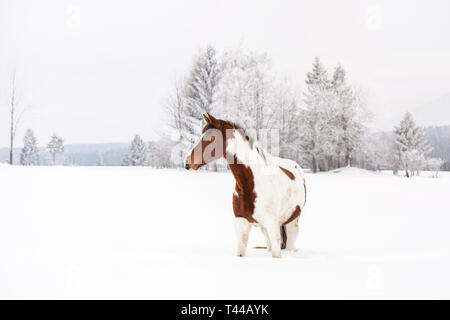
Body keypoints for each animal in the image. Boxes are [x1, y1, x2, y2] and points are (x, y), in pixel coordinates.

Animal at [185, 114, 308, 258]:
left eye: (211, 138)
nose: (187, 161)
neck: (252, 184)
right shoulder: (241, 223)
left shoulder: (272, 225)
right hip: (264, 228)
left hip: (292, 223)